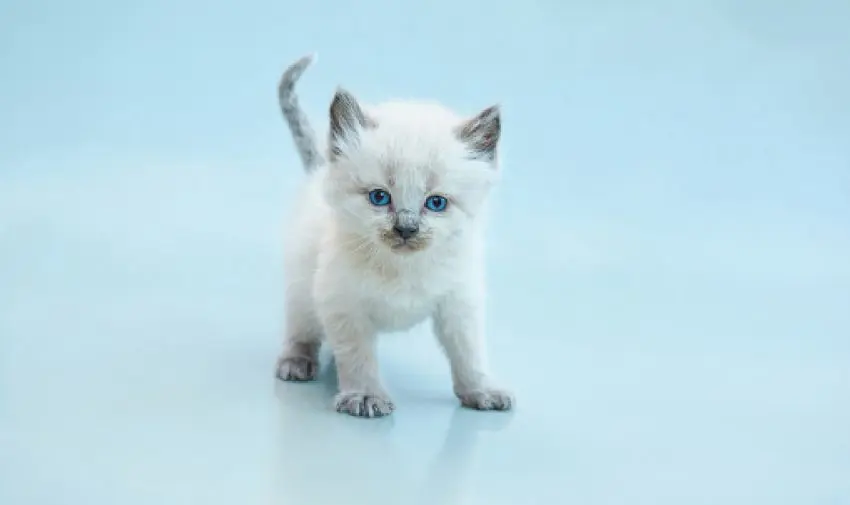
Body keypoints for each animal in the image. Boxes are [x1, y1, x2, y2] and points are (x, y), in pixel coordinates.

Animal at [274, 54, 510, 418]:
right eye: (379, 197)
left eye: (436, 203)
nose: (406, 229)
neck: (400, 268)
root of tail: (318, 172)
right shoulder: (343, 303)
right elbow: (358, 356)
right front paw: (365, 396)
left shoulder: (459, 301)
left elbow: (469, 353)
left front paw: (481, 390)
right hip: (302, 286)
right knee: (302, 326)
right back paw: (297, 362)